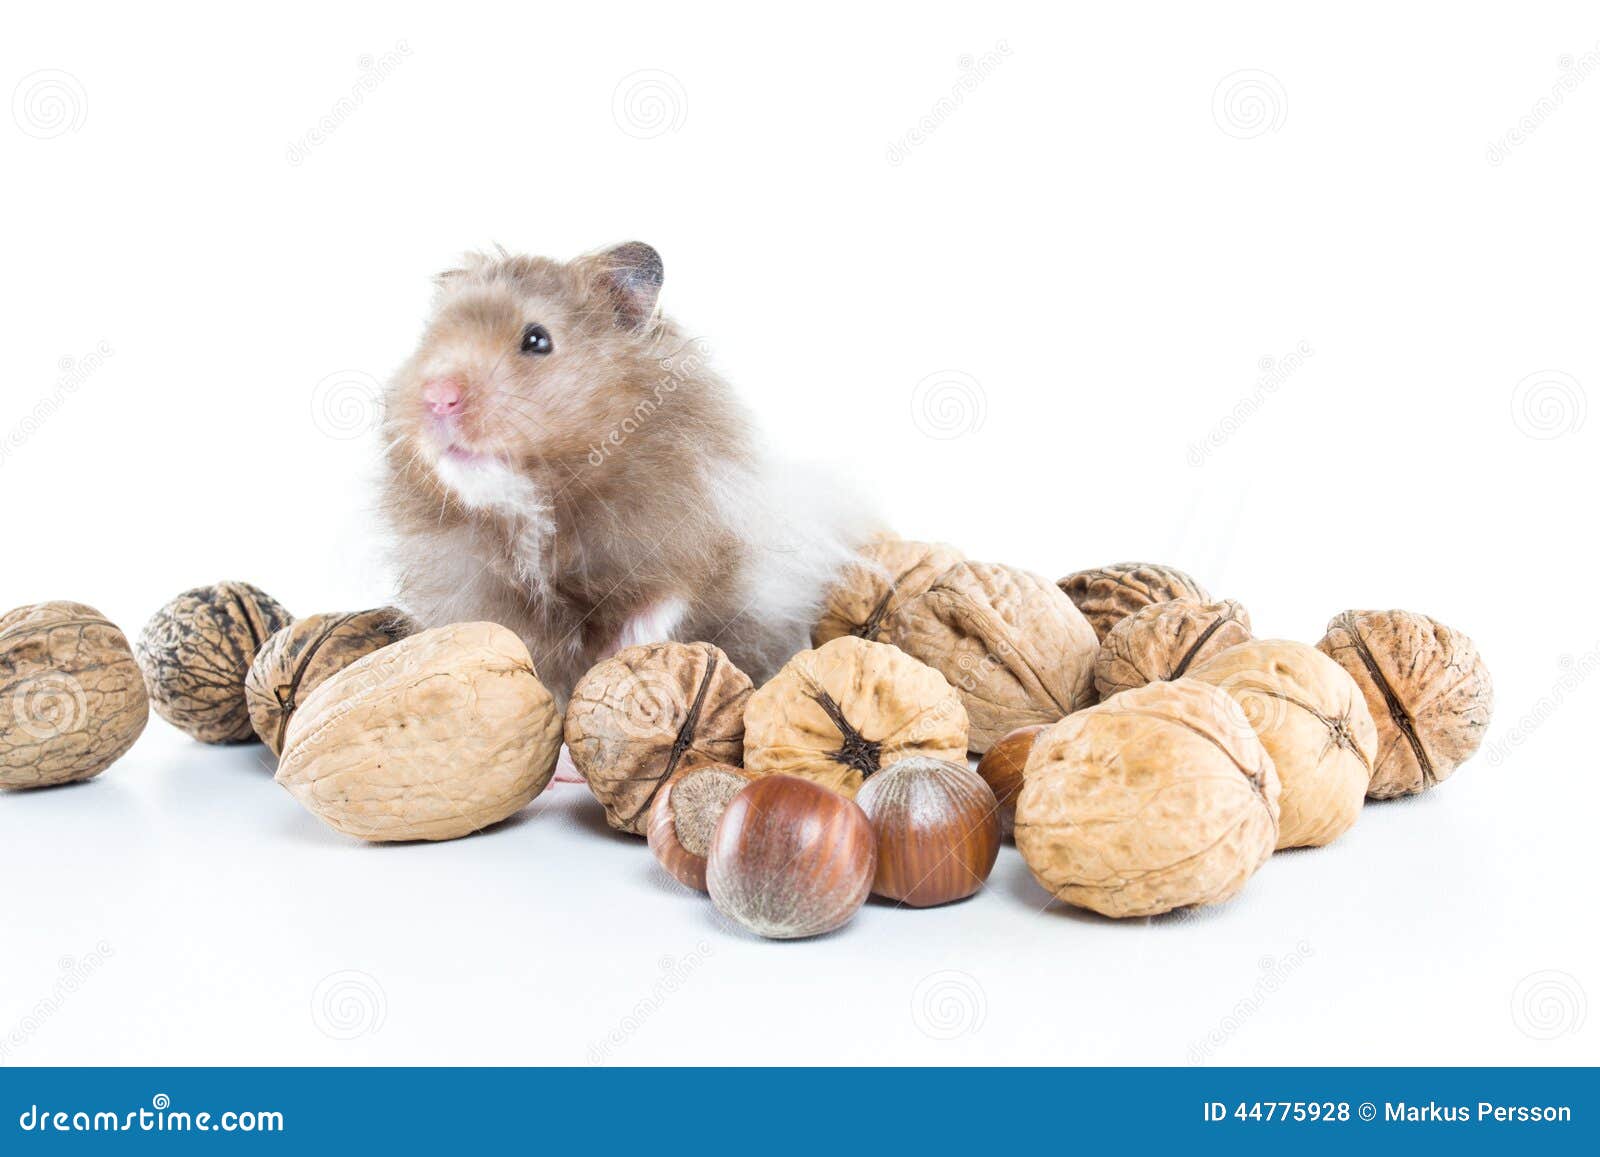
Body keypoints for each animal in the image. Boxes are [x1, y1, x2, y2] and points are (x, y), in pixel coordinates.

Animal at [379, 241, 879, 702]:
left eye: (537, 340)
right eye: (429, 337)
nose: (438, 396)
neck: (540, 501)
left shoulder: (701, 541)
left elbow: (666, 602)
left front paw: (616, 655)